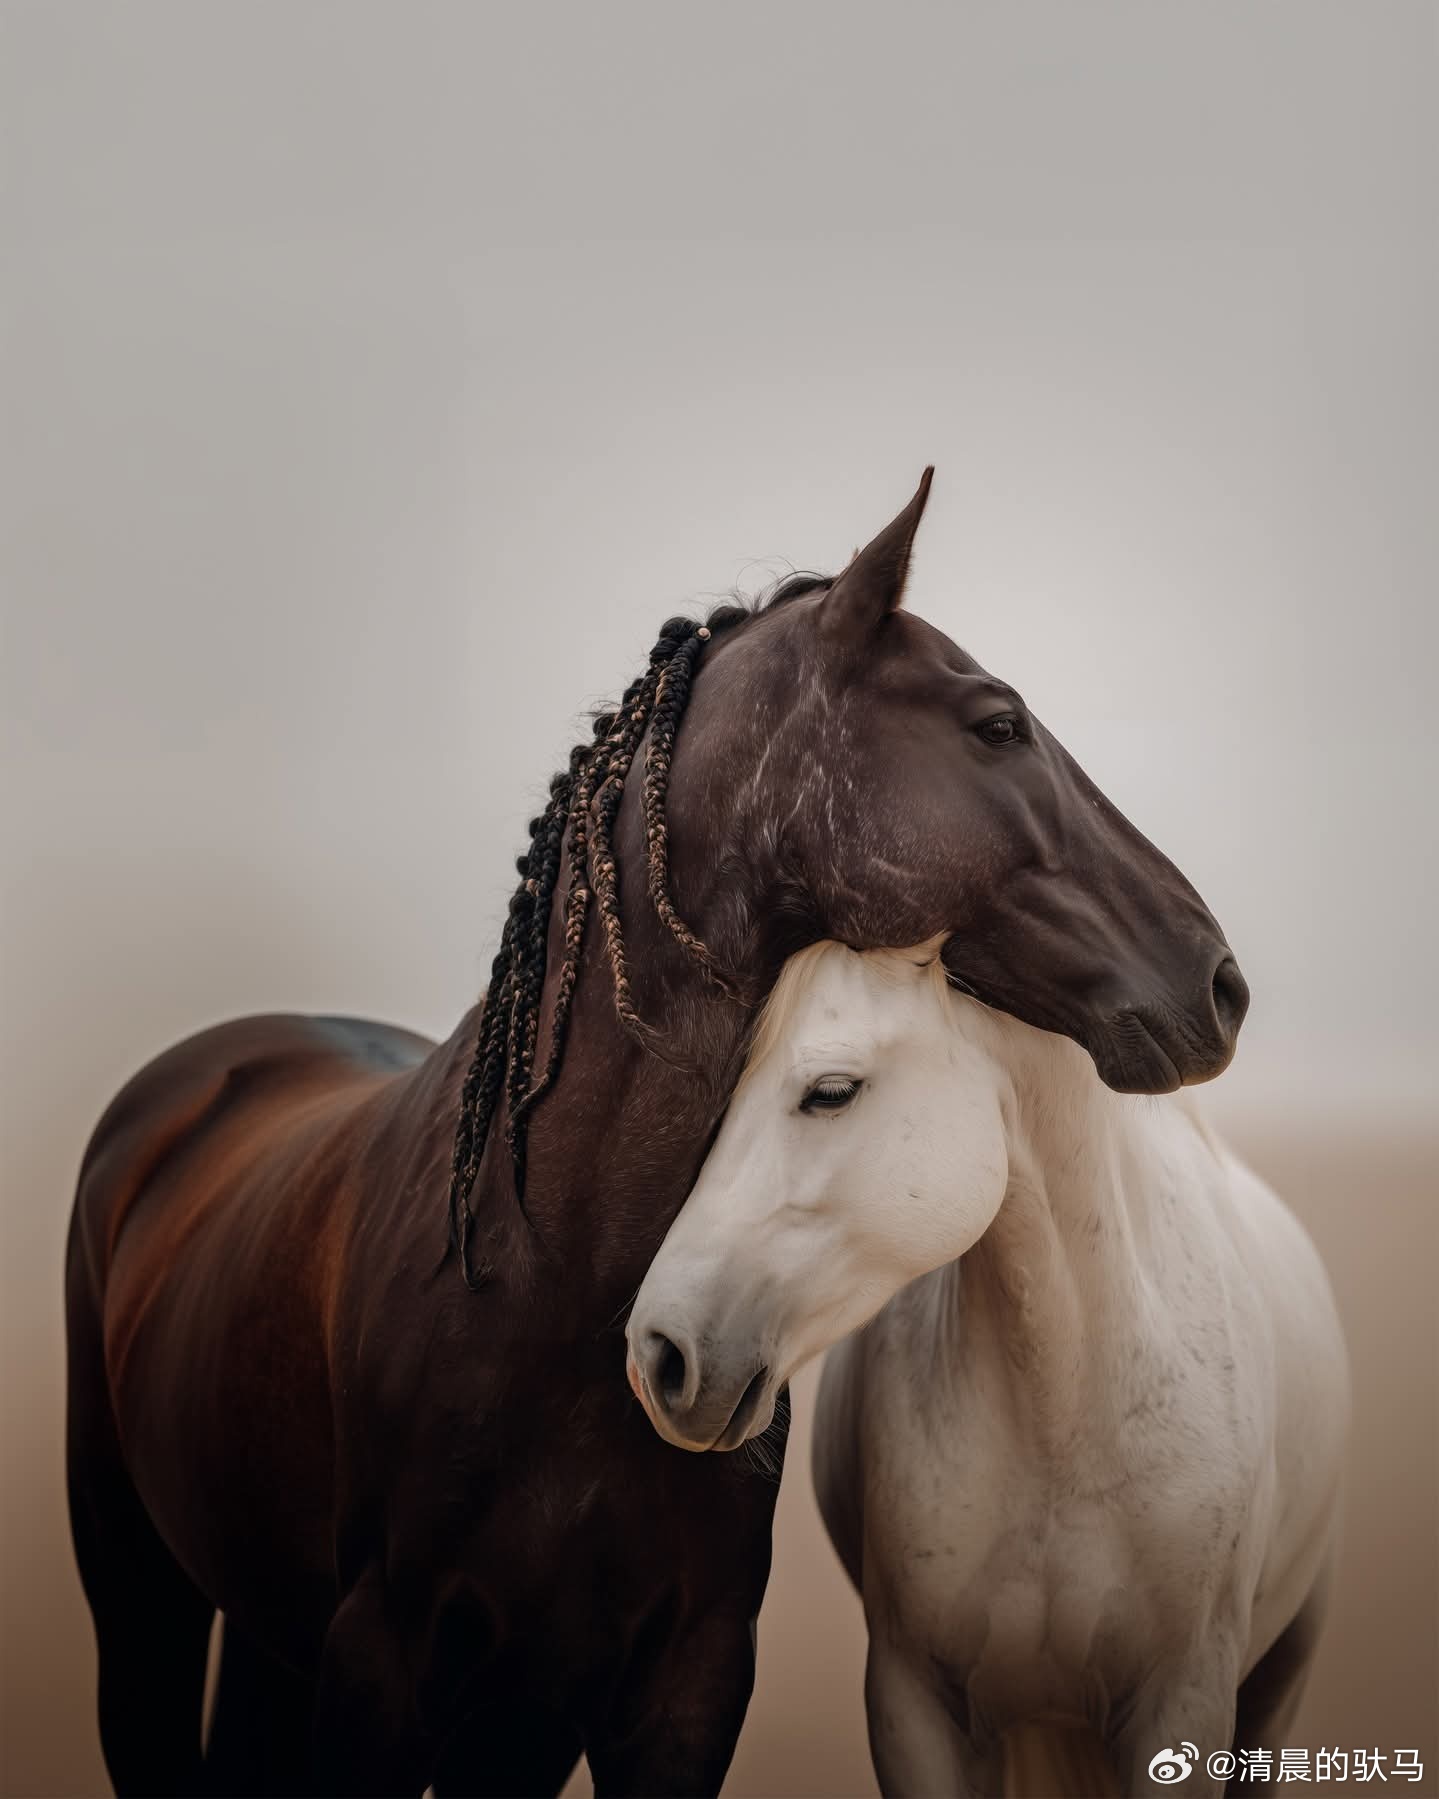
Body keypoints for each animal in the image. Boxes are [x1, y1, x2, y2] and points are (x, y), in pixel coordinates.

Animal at [65, 470, 1247, 1797]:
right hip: (142, 1593)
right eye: (996, 724)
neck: (538, 1277)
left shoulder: (680, 1679)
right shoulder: (376, 1669)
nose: (1217, 980)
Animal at [625, 939, 1347, 1798]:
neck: (1065, 1418)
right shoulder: (914, 1705)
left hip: (1278, 1681)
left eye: (830, 1092)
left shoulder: (1183, 1703)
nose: (657, 1351)